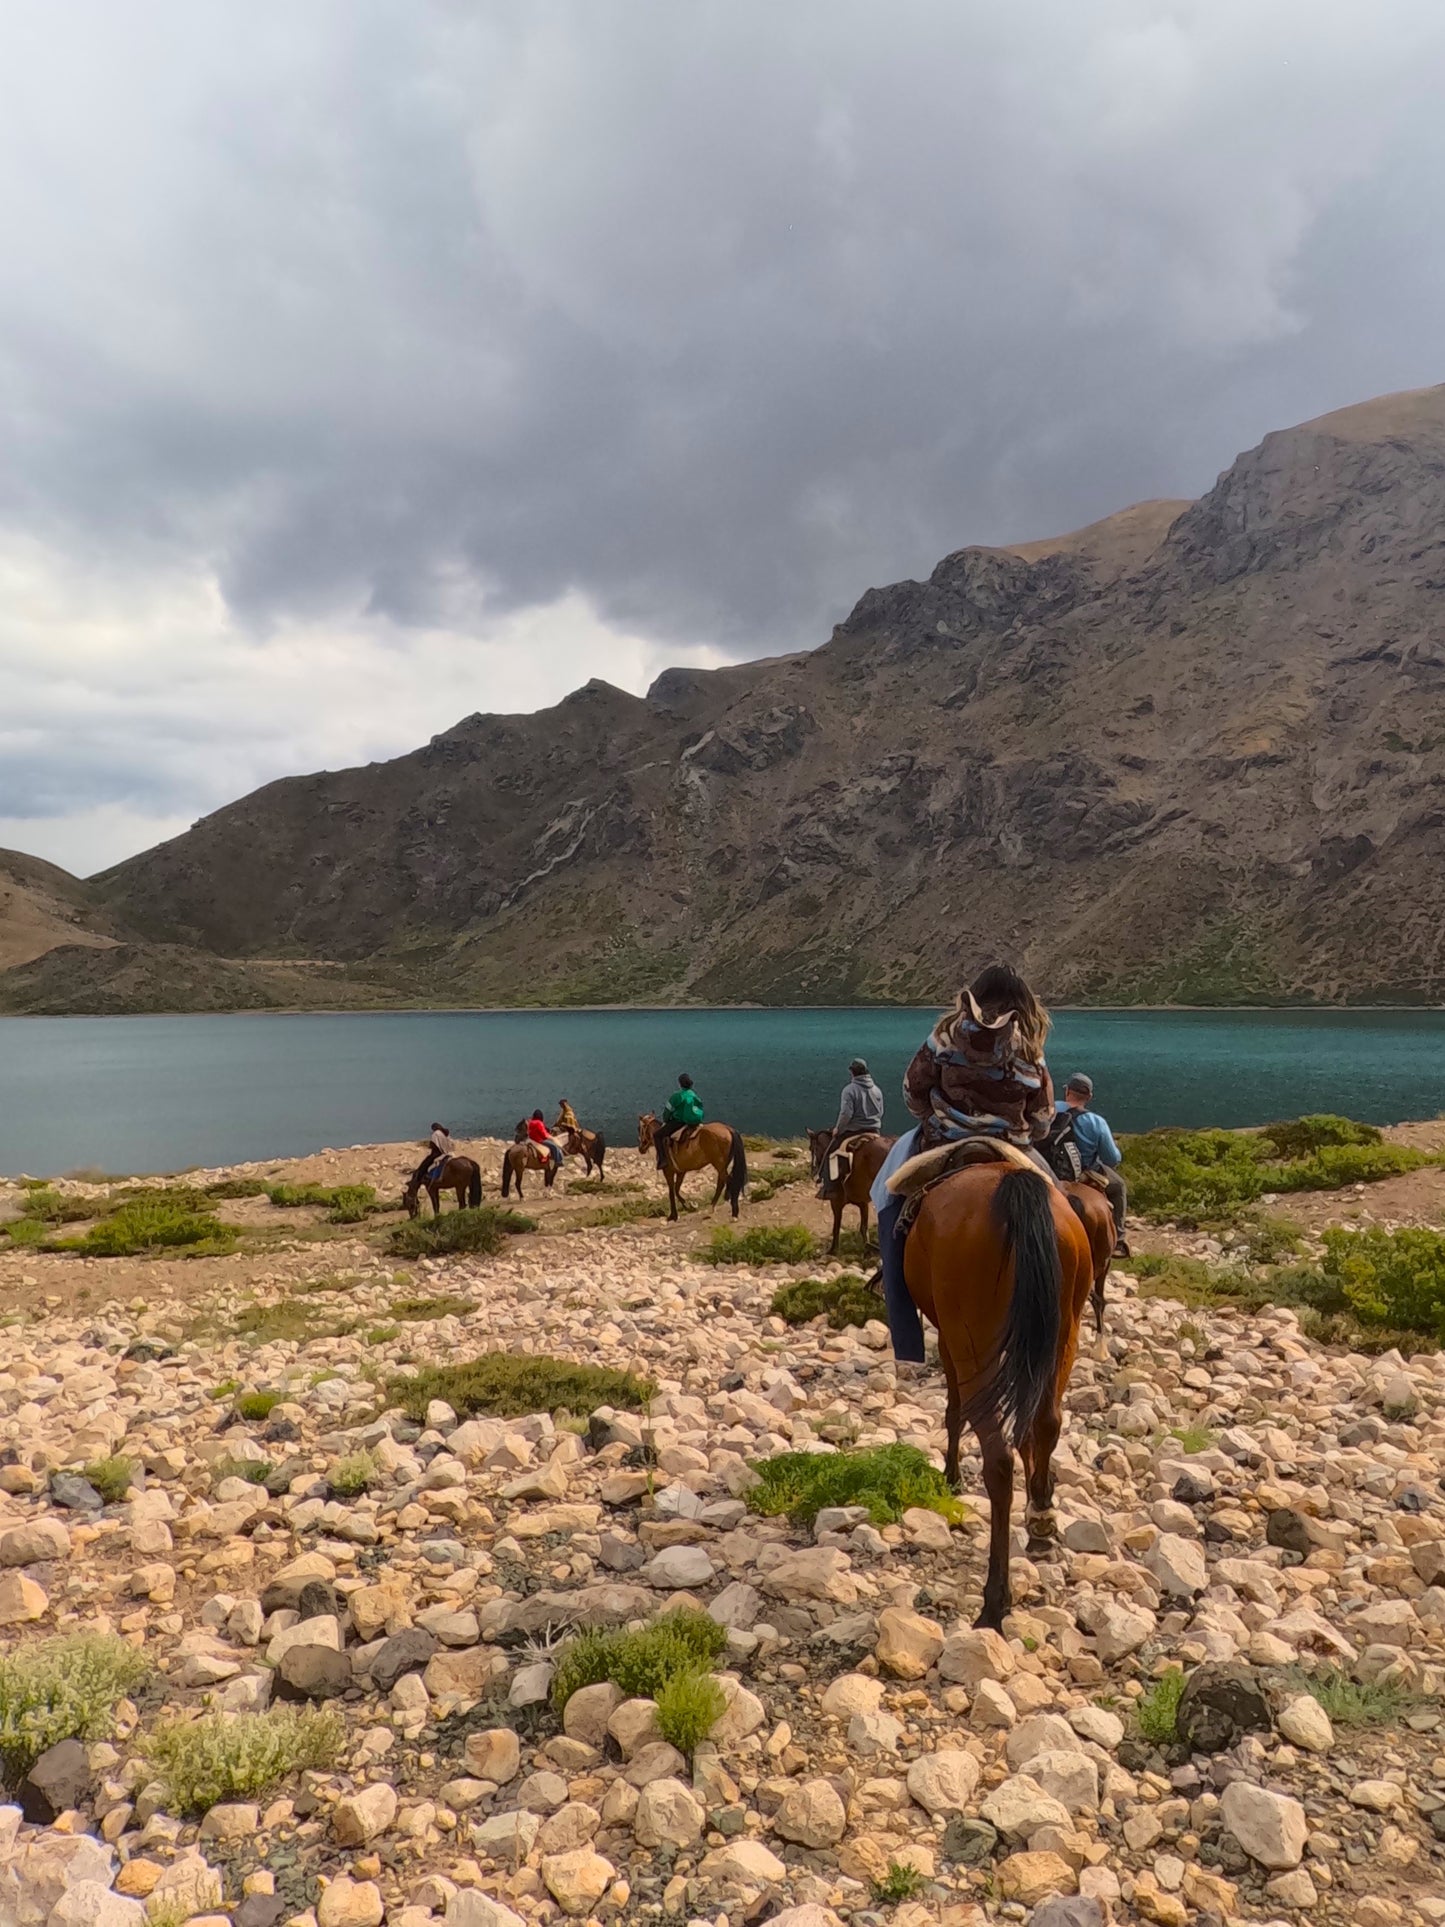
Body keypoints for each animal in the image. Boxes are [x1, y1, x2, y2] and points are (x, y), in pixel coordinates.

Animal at [809, 1125, 901, 1256]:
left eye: (811, 1148)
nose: (813, 1172)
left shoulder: (836, 1202)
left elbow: (836, 1226)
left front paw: (832, 1250)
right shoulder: (863, 1203)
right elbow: (863, 1228)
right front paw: (868, 1249)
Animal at [909, 1156, 1094, 1626]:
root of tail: (1012, 1183)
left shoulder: (948, 1339)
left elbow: (953, 1410)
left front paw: (951, 1475)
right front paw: (1041, 1501)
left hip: (971, 1339)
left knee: (997, 1456)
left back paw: (995, 1600)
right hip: (1064, 1331)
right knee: (1047, 1421)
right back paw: (1042, 1521)